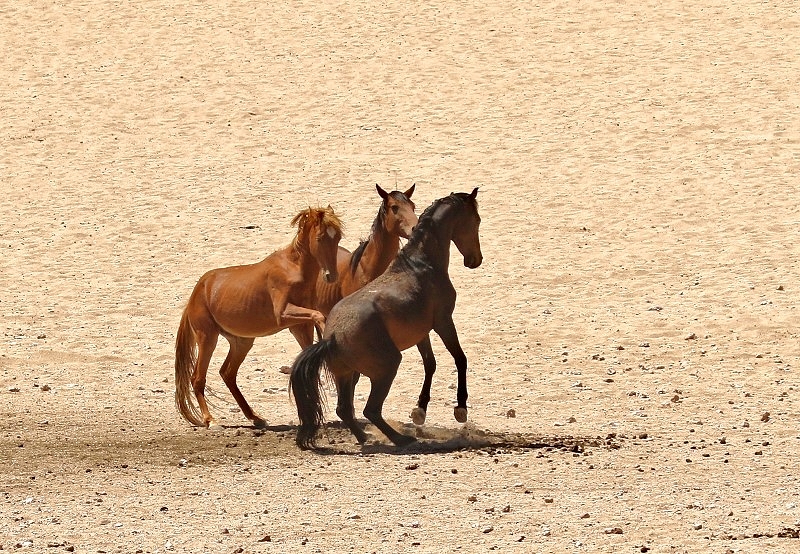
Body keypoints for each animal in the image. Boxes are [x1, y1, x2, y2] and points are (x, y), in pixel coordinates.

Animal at [175, 206, 343, 429]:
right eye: (320, 237)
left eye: (338, 237)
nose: (331, 276)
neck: (294, 268)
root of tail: (197, 292)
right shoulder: (284, 314)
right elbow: (319, 316)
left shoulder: (300, 327)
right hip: (207, 339)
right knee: (198, 378)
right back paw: (210, 420)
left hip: (241, 342)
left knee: (227, 374)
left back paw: (255, 417)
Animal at [290, 189, 482, 448]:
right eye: (476, 221)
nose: (475, 260)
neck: (420, 264)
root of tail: (332, 338)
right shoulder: (443, 322)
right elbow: (460, 358)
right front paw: (460, 409)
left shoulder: (422, 332)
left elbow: (430, 363)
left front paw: (419, 411)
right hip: (388, 366)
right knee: (370, 410)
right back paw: (400, 439)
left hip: (347, 375)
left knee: (344, 409)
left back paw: (366, 438)